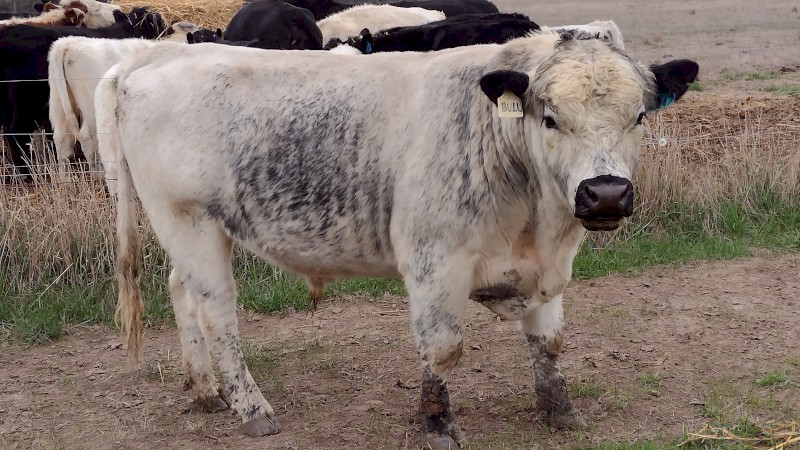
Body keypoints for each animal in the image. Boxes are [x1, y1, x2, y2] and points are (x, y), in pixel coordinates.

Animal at [96, 29, 698, 448]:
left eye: (639, 116)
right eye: (549, 118)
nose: (605, 193)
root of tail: (152, 57)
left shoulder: (546, 267)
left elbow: (547, 343)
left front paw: (560, 412)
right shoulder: (436, 261)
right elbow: (444, 348)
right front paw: (437, 425)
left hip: (190, 232)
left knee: (183, 295)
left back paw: (204, 390)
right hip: (189, 221)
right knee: (218, 313)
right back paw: (251, 407)